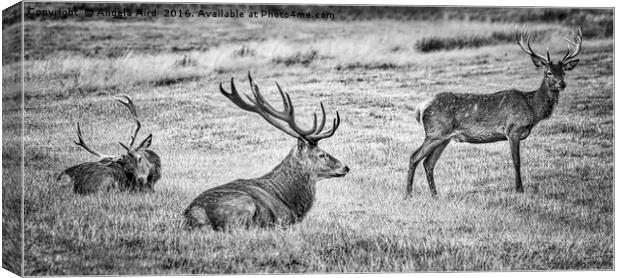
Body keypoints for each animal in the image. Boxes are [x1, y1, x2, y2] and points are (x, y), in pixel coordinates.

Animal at [183, 73, 348, 230]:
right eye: (322, 154)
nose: (346, 167)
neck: (291, 202)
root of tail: (196, 214)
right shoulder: (285, 219)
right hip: (244, 205)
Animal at [406, 25, 580, 195]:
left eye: (564, 72)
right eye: (548, 72)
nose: (562, 84)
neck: (532, 108)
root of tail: (421, 107)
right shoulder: (512, 130)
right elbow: (516, 161)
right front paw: (519, 189)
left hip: (444, 137)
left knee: (428, 162)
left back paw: (435, 194)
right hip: (435, 131)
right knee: (414, 157)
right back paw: (408, 194)